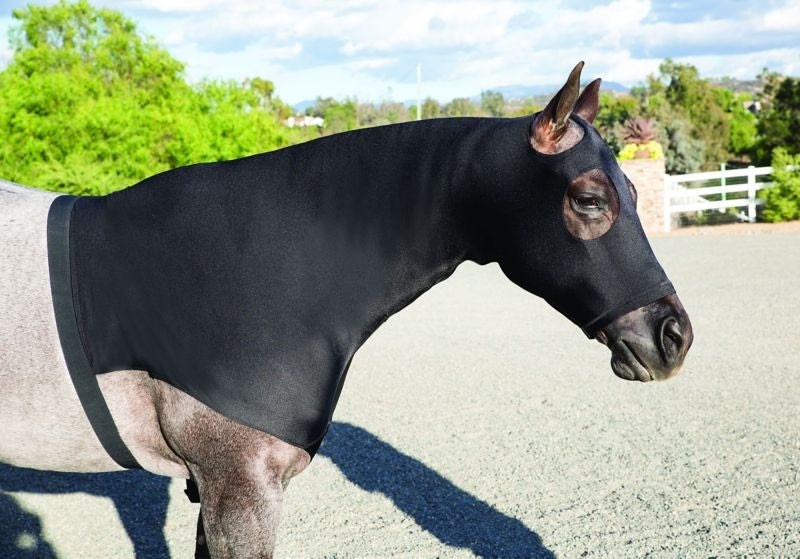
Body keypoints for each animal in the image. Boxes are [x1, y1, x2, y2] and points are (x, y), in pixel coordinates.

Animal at [0, 62, 692, 557]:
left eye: (636, 193)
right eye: (590, 199)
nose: (673, 337)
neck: (270, 268)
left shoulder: (220, 493)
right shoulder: (239, 491)